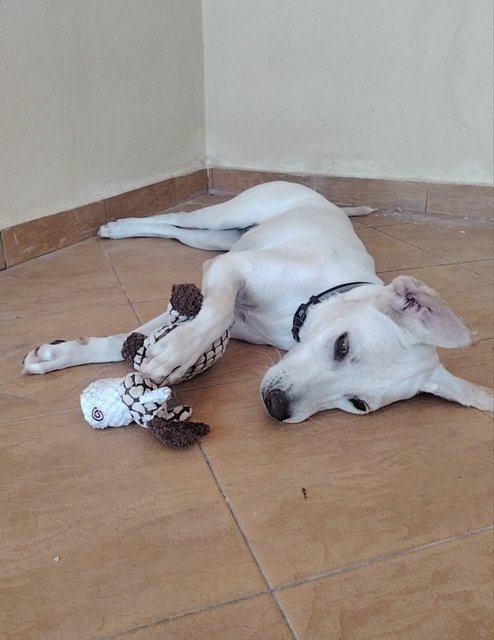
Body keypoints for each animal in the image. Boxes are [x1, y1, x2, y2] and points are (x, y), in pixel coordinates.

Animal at [24, 181, 494, 420]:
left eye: (358, 404)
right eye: (343, 345)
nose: (276, 407)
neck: (301, 309)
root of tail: (320, 195)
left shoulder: (227, 291)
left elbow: (130, 338)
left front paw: (58, 354)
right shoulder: (230, 270)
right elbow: (209, 316)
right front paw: (172, 356)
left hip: (215, 240)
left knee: (175, 231)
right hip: (225, 219)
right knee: (173, 217)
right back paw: (117, 226)